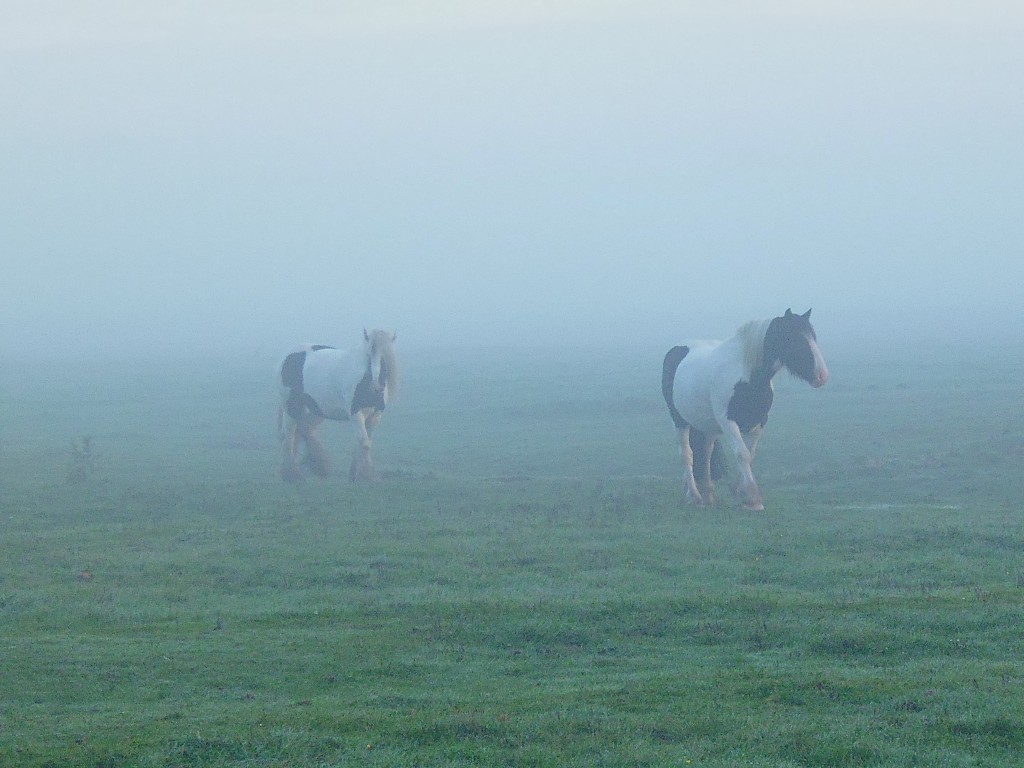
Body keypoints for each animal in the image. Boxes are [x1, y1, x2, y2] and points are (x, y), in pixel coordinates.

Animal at [278, 327, 397, 483]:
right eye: (368, 354)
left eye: (385, 358)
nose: (376, 387)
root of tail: (288, 356)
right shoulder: (355, 414)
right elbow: (364, 443)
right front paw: (366, 477)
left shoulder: (376, 415)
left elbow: (365, 442)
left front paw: (355, 475)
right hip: (290, 407)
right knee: (289, 436)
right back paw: (292, 475)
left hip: (315, 410)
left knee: (305, 430)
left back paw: (316, 466)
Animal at [659, 307, 827, 512]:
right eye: (793, 338)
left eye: (813, 337)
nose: (822, 375)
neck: (747, 376)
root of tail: (677, 349)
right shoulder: (728, 422)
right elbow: (741, 453)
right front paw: (752, 497)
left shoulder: (759, 422)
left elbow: (749, 453)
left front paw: (741, 492)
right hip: (679, 420)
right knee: (687, 455)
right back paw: (694, 496)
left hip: (709, 426)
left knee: (706, 453)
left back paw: (708, 494)